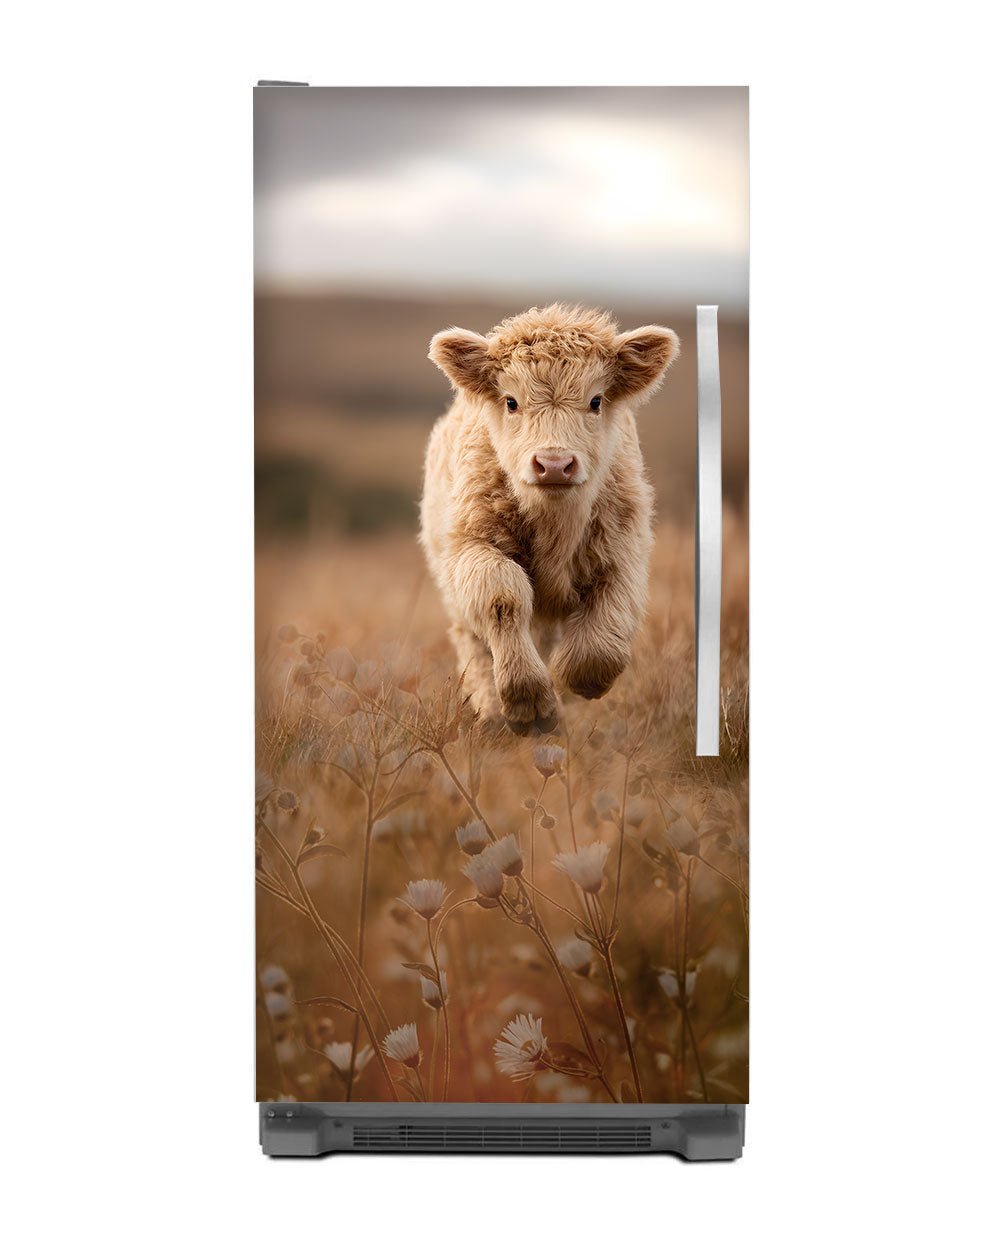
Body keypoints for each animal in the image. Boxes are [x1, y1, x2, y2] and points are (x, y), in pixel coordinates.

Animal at [420, 303, 679, 735]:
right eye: (511, 401)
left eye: (596, 400)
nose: (554, 464)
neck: (555, 525)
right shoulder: (472, 546)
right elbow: (501, 596)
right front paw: (531, 701)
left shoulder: (623, 551)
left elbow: (602, 638)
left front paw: (572, 680)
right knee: (476, 644)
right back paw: (494, 713)